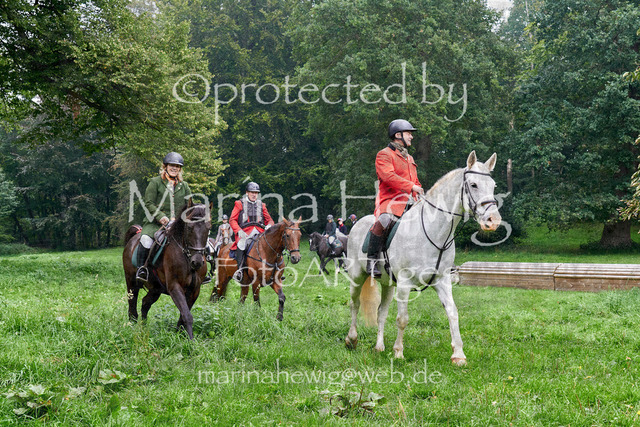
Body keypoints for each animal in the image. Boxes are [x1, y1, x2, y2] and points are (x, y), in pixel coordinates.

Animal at [122, 202, 211, 339]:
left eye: (208, 228)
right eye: (189, 228)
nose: (197, 262)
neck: (186, 255)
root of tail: (133, 238)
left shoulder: (195, 290)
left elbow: (183, 314)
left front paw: (180, 334)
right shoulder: (175, 287)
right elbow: (187, 315)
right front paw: (191, 341)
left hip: (156, 289)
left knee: (145, 303)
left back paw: (144, 328)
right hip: (131, 283)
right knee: (132, 306)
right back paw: (133, 328)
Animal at [344, 151, 502, 366]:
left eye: (493, 185)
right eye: (474, 184)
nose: (493, 221)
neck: (434, 231)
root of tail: (358, 223)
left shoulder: (442, 281)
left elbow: (453, 313)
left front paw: (459, 355)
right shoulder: (404, 283)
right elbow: (402, 319)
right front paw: (398, 352)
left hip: (387, 284)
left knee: (381, 312)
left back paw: (379, 347)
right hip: (357, 277)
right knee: (355, 304)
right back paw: (351, 339)